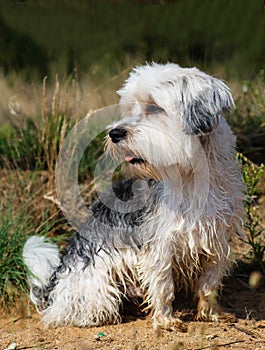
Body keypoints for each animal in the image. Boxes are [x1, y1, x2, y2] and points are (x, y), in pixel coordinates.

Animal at [22, 62, 243, 330]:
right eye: (130, 108)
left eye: (154, 107)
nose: (114, 133)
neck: (191, 176)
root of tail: (55, 283)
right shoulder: (160, 246)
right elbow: (163, 286)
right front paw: (165, 320)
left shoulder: (218, 240)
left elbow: (209, 282)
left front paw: (209, 314)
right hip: (96, 288)